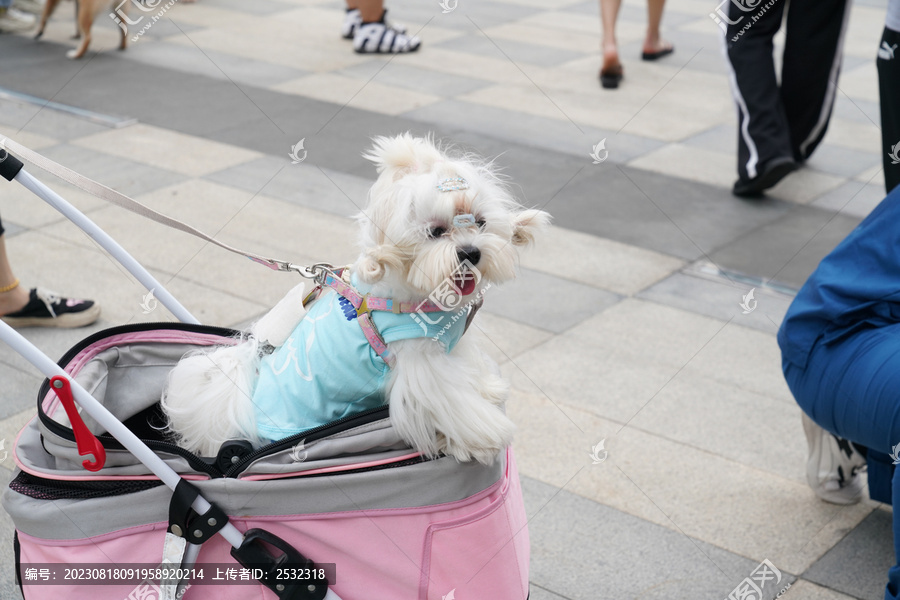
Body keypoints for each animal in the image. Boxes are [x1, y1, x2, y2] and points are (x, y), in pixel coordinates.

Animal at [163, 135, 548, 464]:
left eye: (480, 223)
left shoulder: (448, 346)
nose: (470, 253)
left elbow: (469, 375)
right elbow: (455, 401)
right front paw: (486, 438)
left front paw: (489, 390)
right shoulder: (421, 364)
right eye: (435, 231)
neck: (418, 294)